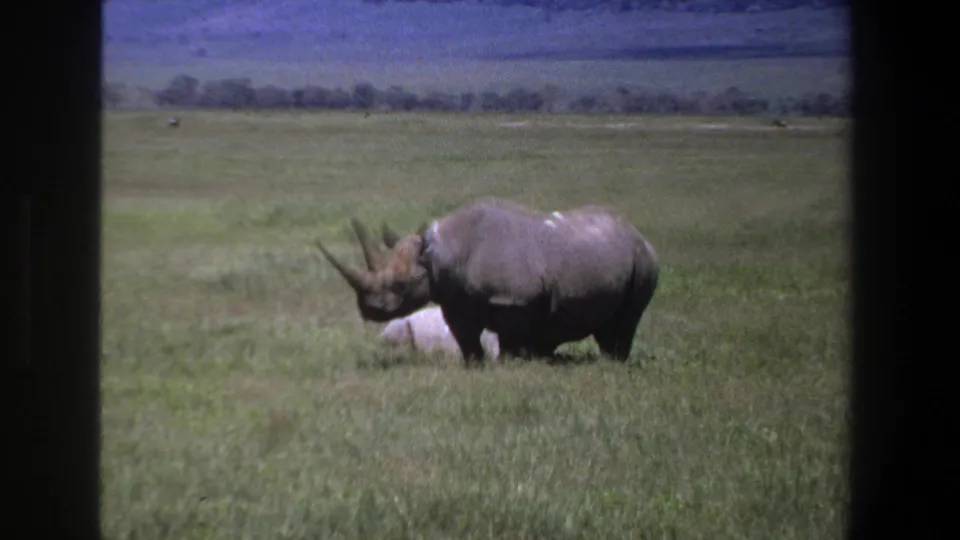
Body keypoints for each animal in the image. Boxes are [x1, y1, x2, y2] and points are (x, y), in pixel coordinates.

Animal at [314, 198, 659, 366]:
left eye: (400, 286)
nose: (368, 310)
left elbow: (511, 338)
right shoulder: (455, 299)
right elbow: (466, 337)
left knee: (628, 319)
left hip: (643, 261)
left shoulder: (516, 299)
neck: (440, 253)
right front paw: (475, 366)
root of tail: (636, 233)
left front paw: (512, 364)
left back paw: (613, 363)